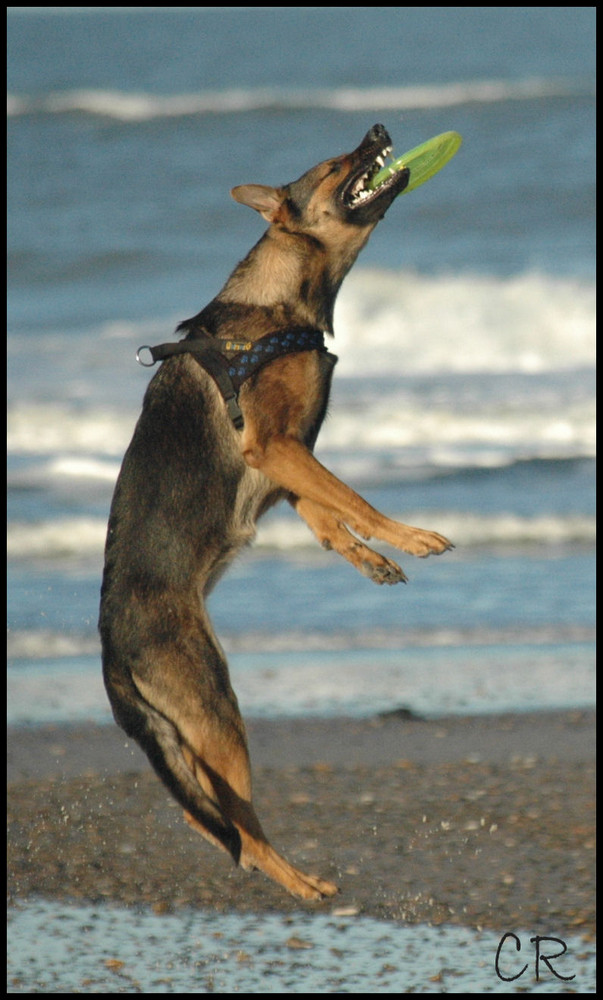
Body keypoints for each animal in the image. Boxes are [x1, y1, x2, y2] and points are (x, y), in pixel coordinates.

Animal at [99, 123, 452, 900]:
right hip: (216, 713)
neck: (281, 301)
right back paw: (301, 885)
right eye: (333, 164)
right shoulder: (275, 446)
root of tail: (111, 652)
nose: (378, 130)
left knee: (211, 821)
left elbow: (327, 515)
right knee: (235, 829)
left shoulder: (287, 463)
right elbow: (354, 498)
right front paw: (408, 537)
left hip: (196, 731)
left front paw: (371, 559)